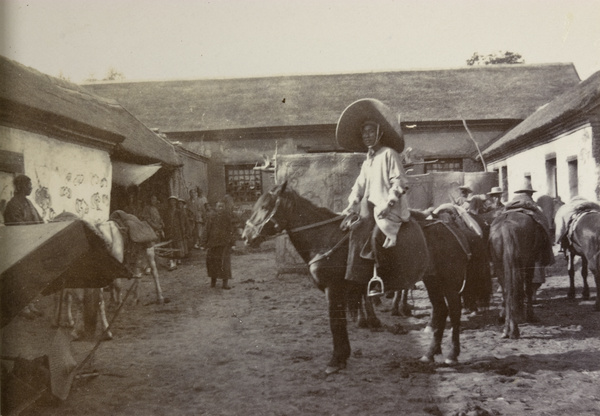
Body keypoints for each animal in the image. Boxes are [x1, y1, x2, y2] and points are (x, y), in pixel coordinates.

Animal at [243, 181, 468, 370]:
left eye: (265, 207)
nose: (245, 237)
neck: (324, 238)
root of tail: (450, 227)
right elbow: (341, 322)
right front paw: (343, 356)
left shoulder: (333, 289)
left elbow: (335, 323)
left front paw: (336, 360)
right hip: (433, 281)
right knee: (441, 311)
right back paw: (429, 354)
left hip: (449, 282)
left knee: (454, 312)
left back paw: (452, 354)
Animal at [490, 210, 552, 340]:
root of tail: (506, 226)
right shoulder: (530, 263)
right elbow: (527, 289)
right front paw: (530, 315)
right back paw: (514, 330)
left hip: (500, 265)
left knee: (508, 292)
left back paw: (507, 329)